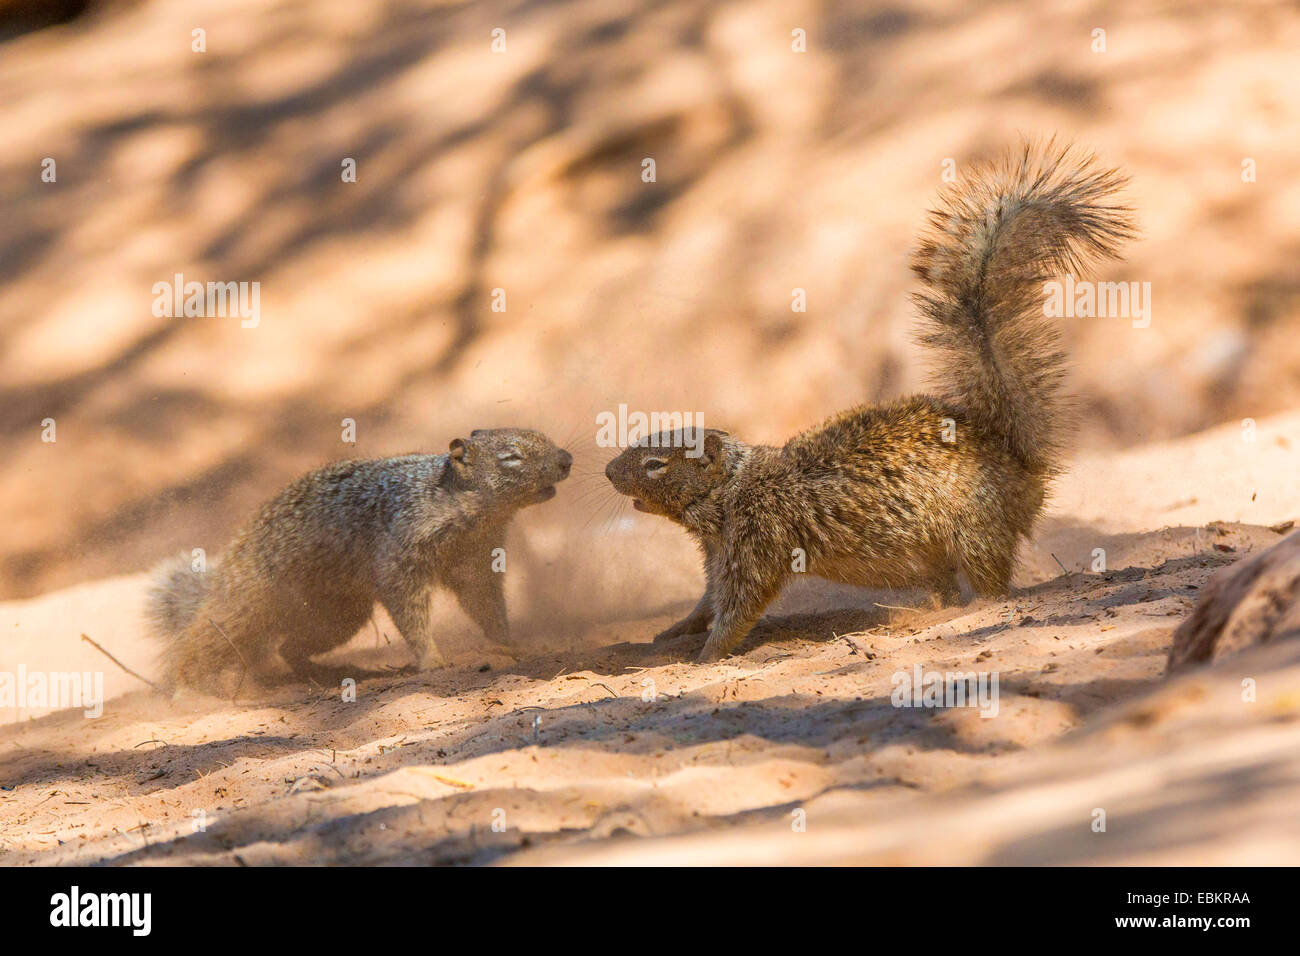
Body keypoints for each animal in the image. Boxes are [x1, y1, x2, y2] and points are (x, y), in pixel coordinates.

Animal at [148, 428, 572, 694]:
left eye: (540, 434)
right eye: (511, 457)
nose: (566, 459)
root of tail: (229, 563)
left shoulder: (477, 564)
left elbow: (487, 607)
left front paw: (510, 645)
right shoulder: (400, 560)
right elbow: (411, 614)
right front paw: (432, 659)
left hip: (337, 616)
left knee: (289, 650)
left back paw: (331, 673)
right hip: (248, 604)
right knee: (199, 639)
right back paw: (184, 688)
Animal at [605, 141, 1135, 663]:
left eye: (655, 463)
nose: (609, 472)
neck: (736, 488)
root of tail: (1014, 455)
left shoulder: (755, 546)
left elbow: (738, 608)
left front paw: (707, 655)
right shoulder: (720, 555)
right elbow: (706, 601)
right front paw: (676, 631)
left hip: (975, 531)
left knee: (990, 584)